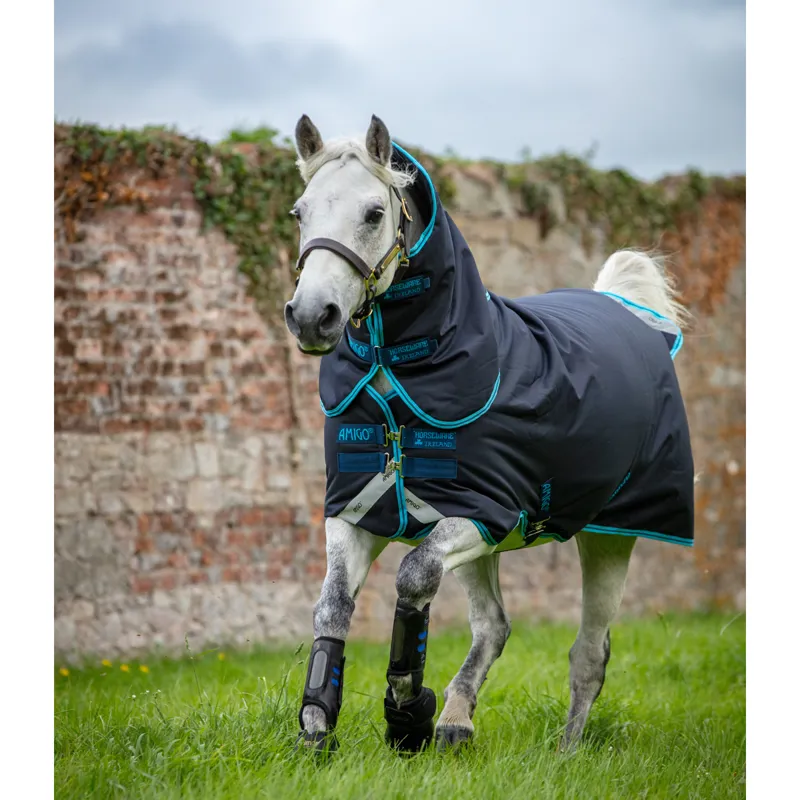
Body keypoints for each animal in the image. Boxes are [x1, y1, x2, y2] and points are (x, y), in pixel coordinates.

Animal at [283, 114, 695, 754]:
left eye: (374, 212)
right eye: (300, 212)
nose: (310, 316)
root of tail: (625, 309)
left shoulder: (485, 512)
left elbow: (413, 577)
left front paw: (406, 711)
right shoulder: (357, 511)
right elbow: (332, 608)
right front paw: (318, 725)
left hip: (610, 536)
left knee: (589, 653)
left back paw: (564, 752)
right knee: (494, 626)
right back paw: (456, 721)